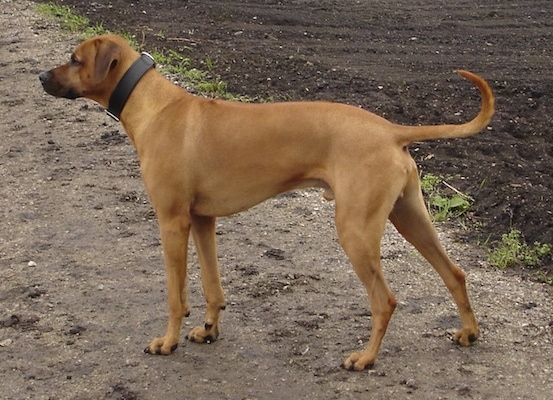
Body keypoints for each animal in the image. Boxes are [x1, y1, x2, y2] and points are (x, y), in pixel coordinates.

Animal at [41, 35, 494, 372]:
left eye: (74, 59)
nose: (41, 75)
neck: (153, 105)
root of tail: (391, 130)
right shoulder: (202, 221)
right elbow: (212, 286)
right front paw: (209, 329)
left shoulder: (172, 221)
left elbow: (175, 294)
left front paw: (167, 342)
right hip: (410, 218)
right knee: (455, 274)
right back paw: (469, 332)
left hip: (355, 231)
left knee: (384, 300)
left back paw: (365, 358)